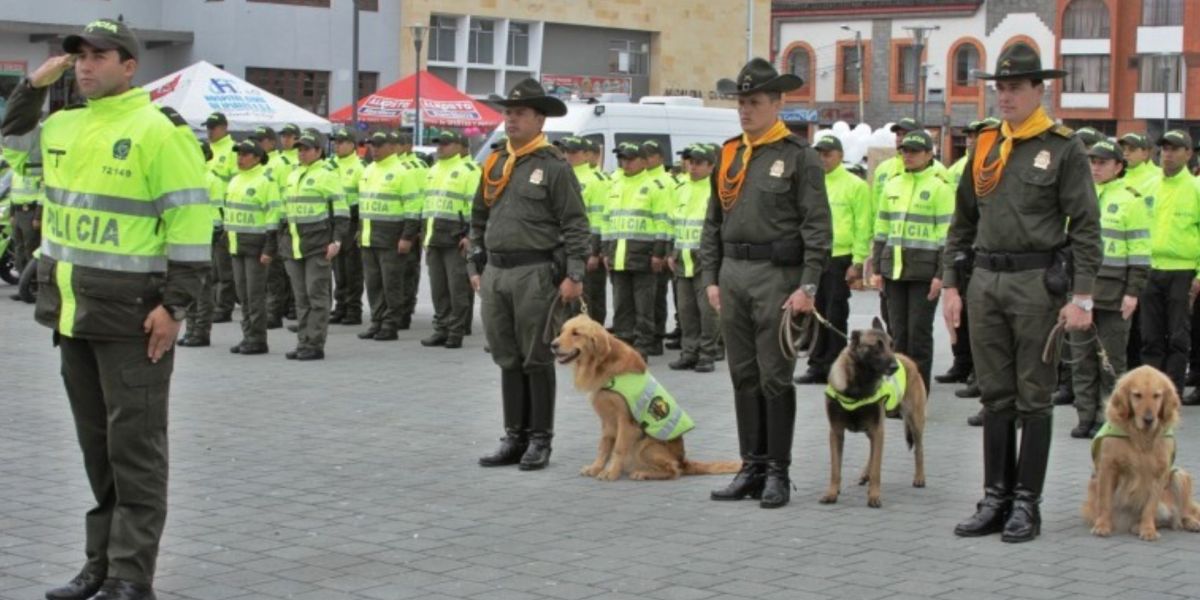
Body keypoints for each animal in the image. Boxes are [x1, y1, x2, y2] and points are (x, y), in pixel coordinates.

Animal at [552, 314, 739, 482]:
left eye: (576, 333)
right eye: (562, 331)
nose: (553, 345)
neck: (604, 368)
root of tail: (684, 460)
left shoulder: (626, 421)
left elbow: (618, 448)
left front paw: (610, 472)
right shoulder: (607, 420)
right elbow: (603, 447)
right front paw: (596, 467)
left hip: (645, 446)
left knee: (674, 470)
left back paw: (644, 473)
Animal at [816, 316, 926, 508]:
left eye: (891, 345)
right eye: (876, 346)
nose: (895, 367)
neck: (857, 385)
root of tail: (907, 359)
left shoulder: (877, 429)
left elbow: (877, 468)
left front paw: (874, 495)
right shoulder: (836, 432)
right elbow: (835, 469)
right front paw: (832, 493)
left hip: (914, 421)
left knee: (918, 449)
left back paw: (919, 477)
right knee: (873, 451)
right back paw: (865, 473)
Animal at [1080, 362, 1200, 542]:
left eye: (1157, 395)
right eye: (1137, 395)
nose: (1148, 419)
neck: (1141, 437)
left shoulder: (1160, 472)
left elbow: (1149, 507)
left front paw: (1148, 529)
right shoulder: (1108, 468)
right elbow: (1105, 502)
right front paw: (1102, 526)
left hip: (1179, 475)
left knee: (1183, 513)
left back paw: (1190, 523)